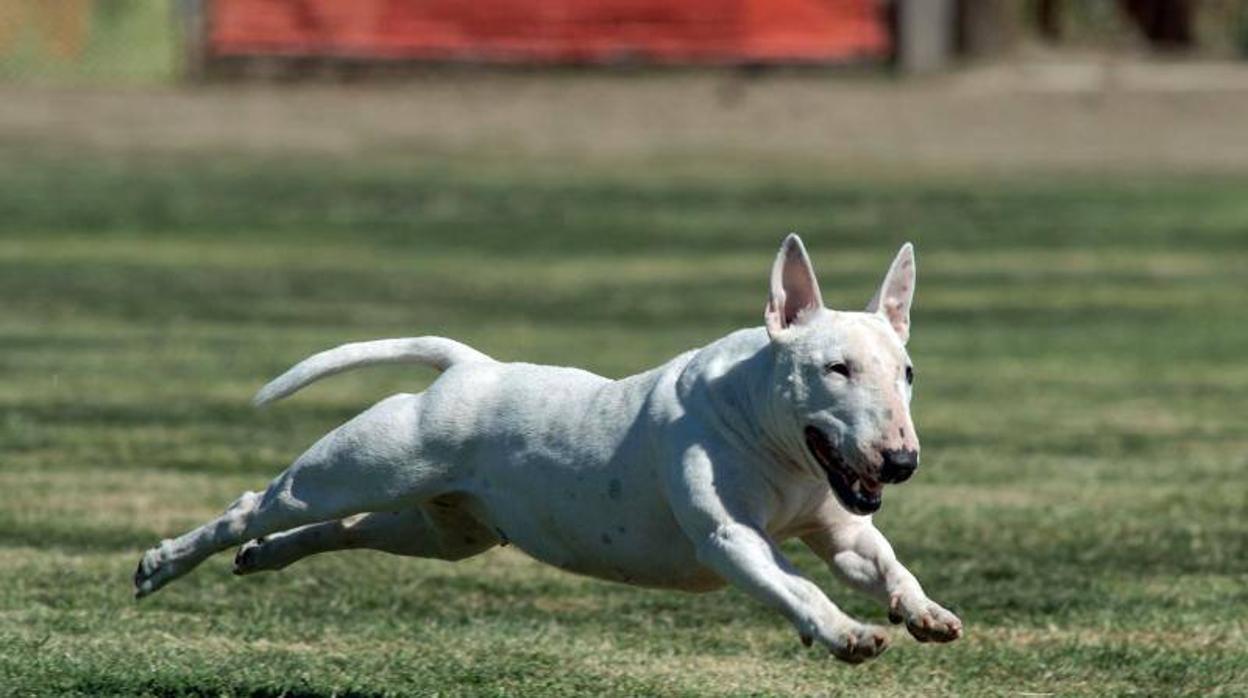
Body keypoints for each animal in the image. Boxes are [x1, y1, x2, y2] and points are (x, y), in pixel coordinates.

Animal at [134, 235, 953, 664]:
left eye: (908, 372)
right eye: (835, 369)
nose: (901, 463)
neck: (770, 434)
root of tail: (468, 368)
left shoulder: (841, 526)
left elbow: (881, 562)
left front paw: (926, 613)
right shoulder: (732, 539)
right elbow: (798, 586)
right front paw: (848, 633)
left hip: (448, 528)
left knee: (347, 529)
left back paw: (262, 559)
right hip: (355, 467)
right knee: (260, 504)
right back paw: (164, 563)